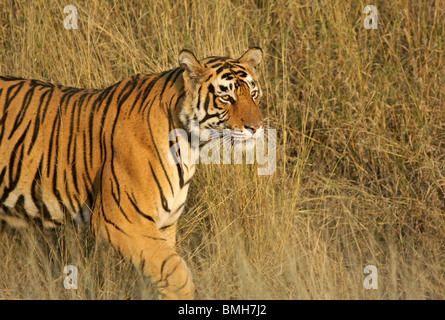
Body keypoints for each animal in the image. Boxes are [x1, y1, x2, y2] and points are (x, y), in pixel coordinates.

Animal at [0, 48, 264, 300]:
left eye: (253, 94)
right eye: (226, 97)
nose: (257, 127)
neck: (190, 144)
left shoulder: (164, 225)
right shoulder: (121, 221)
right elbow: (178, 274)